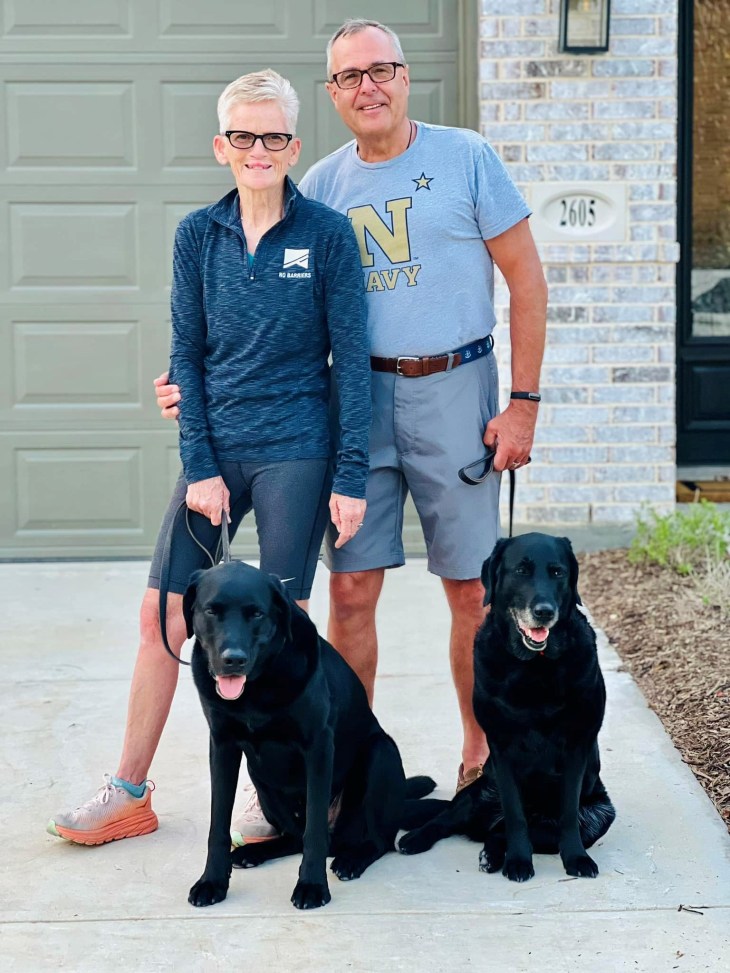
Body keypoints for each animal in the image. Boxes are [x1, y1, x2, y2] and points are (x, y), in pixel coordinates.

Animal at [183, 560, 432, 908]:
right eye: (211, 611)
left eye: (256, 613)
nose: (233, 660)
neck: (257, 688)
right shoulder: (222, 746)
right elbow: (217, 824)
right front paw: (212, 881)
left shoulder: (318, 746)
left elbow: (315, 831)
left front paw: (312, 886)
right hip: (261, 779)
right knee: (293, 837)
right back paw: (253, 852)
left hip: (380, 752)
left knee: (375, 839)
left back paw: (352, 859)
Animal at [398, 532, 616, 880]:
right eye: (521, 571)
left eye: (558, 572)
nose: (544, 611)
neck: (535, 668)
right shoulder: (502, 748)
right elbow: (515, 814)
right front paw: (518, 861)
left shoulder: (576, 746)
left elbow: (568, 814)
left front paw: (576, 858)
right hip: (481, 790)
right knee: (449, 818)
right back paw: (418, 839)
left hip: (601, 812)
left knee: (507, 832)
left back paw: (492, 852)